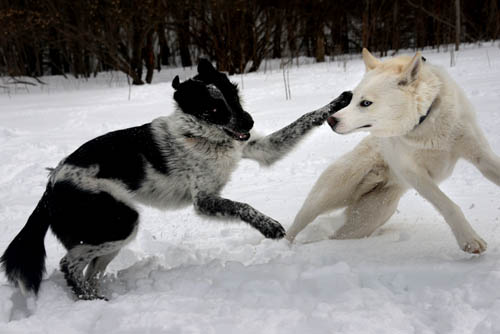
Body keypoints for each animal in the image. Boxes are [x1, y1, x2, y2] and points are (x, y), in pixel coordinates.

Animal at [1, 58, 352, 298]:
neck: (203, 135)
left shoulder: (259, 148)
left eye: (234, 96)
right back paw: (90, 300)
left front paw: (339, 101)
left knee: (89, 271)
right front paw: (268, 227)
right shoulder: (205, 200)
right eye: (213, 109)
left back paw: (101, 299)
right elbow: (243, 206)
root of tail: (51, 185)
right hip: (120, 221)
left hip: (109, 235)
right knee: (69, 266)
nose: (249, 121)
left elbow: (304, 118)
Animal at [286, 49, 500, 253]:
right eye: (352, 99)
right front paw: (469, 240)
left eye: (365, 103)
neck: (426, 123)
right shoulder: (414, 173)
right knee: (294, 228)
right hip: (325, 197)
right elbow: (448, 204)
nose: (331, 120)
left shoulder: (481, 156)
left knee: (336, 237)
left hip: (367, 219)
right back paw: (285, 248)